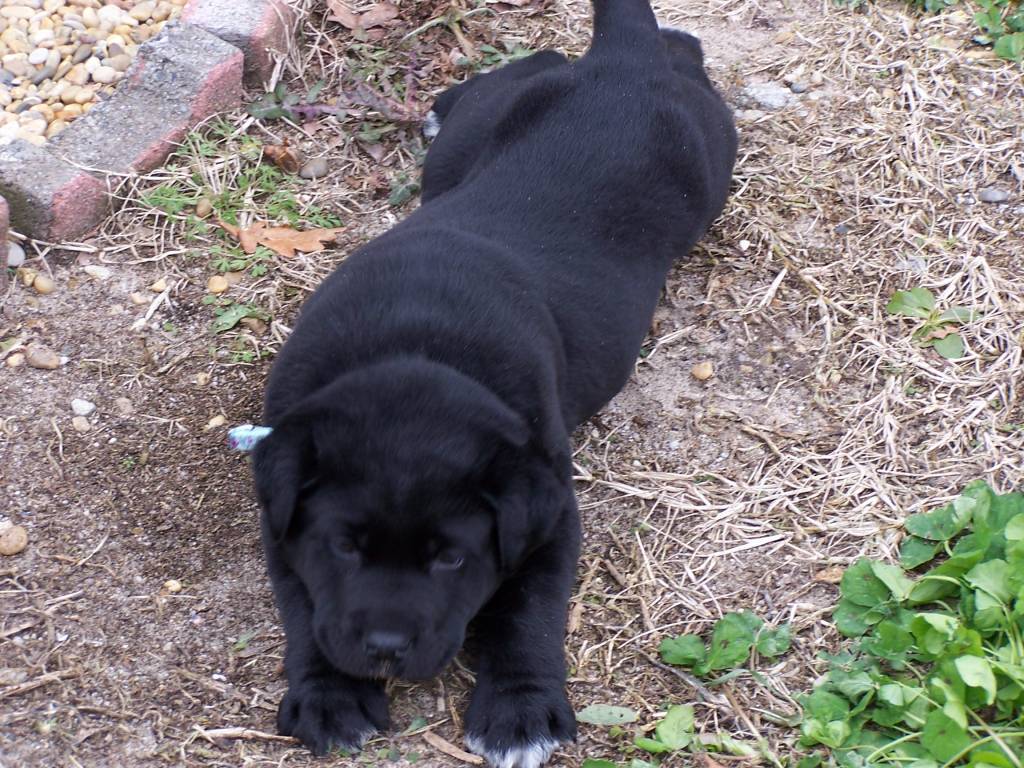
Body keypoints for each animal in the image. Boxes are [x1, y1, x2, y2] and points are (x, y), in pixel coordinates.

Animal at [250, 1, 737, 766]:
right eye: (346, 547)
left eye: (451, 558)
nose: (385, 647)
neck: (413, 340)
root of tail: (620, 63)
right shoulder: (282, 514)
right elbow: (304, 605)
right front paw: (330, 697)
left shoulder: (549, 518)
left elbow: (526, 615)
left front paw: (520, 713)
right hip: (472, 145)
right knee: (552, 61)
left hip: (709, 154)